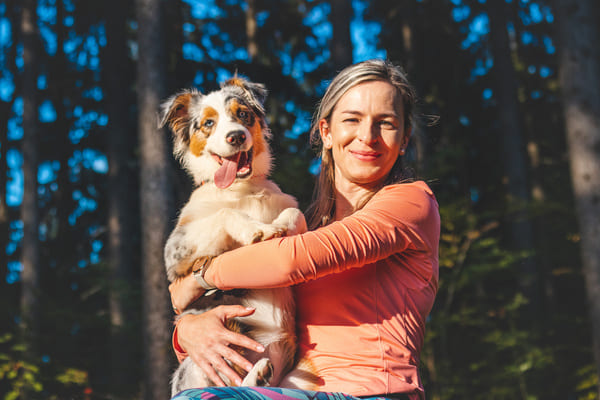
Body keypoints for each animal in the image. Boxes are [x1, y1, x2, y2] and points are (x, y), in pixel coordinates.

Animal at [162, 76, 316, 396]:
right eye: (208, 123)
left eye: (243, 114)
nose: (236, 136)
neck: (241, 189)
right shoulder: (174, 251)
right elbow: (225, 214)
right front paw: (257, 230)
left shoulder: (291, 207)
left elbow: (295, 214)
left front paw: (284, 228)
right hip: (211, 351)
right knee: (228, 382)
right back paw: (256, 375)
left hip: (298, 377)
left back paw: (260, 376)